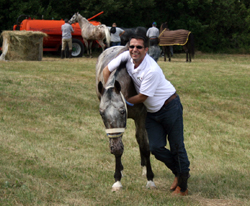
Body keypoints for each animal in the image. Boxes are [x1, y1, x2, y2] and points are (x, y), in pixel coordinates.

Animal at [96, 45, 156, 192]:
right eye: (101, 113)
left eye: (123, 111)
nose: (115, 148)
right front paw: (117, 180)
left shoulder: (141, 117)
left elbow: (144, 144)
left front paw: (150, 179)